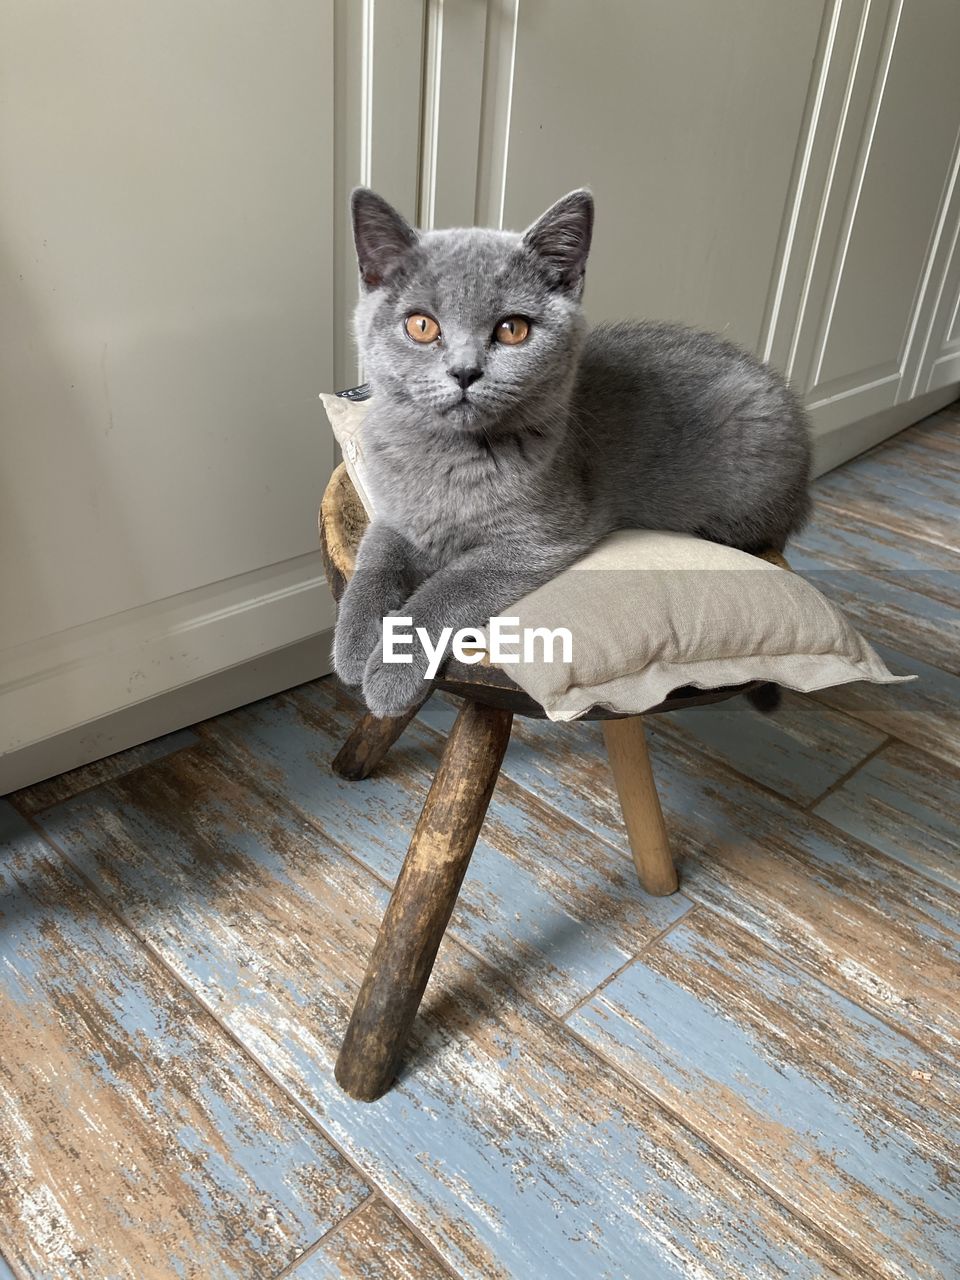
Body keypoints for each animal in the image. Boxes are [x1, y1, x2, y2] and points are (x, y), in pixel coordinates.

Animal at [335, 186, 808, 721]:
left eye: (513, 329)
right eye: (421, 325)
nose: (464, 371)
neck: (448, 458)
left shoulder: (543, 539)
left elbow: (450, 587)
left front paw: (389, 668)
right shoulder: (396, 514)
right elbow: (374, 563)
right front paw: (354, 644)